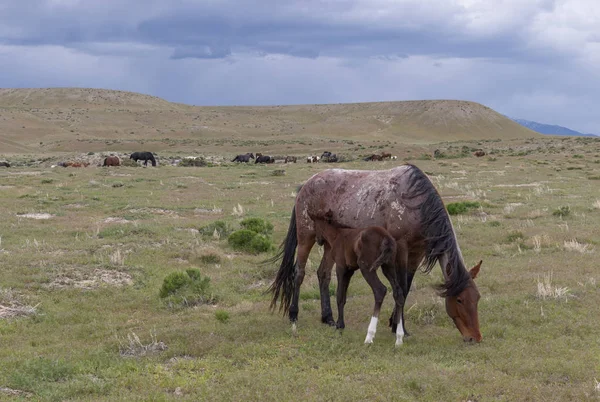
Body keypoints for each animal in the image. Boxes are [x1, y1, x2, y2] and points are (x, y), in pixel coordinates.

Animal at [270, 165, 486, 344]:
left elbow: (405, 289)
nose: (475, 338)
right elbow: (401, 287)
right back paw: (294, 314)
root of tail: (305, 186)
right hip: (306, 237)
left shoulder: (416, 254)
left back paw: (328, 318)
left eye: (477, 298)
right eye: (459, 300)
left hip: (331, 247)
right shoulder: (401, 249)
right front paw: (399, 327)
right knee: (299, 273)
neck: (416, 205)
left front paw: (396, 325)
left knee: (323, 274)